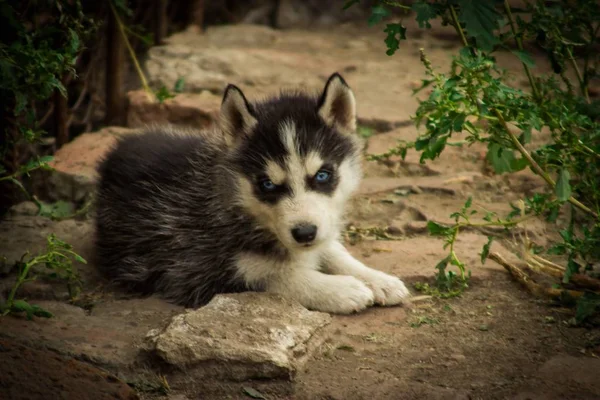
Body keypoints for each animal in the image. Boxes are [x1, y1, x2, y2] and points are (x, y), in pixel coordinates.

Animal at [95, 73, 412, 314]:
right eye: (267, 184)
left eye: (322, 175)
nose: (304, 233)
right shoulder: (192, 270)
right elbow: (278, 277)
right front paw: (342, 288)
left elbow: (334, 250)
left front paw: (378, 279)